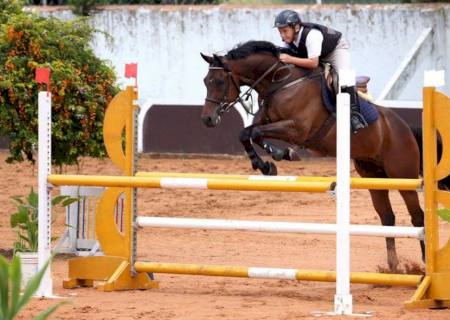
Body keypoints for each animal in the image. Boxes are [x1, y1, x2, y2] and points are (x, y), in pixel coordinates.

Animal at [200, 38, 428, 272]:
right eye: (206, 81)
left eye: (219, 81)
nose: (207, 119)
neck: (281, 83)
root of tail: (404, 128)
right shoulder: (267, 122)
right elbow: (247, 133)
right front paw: (271, 162)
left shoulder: (297, 129)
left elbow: (253, 132)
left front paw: (279, 156)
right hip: (373, 175)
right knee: (387, 217)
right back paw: (392, 266)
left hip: (403, 175)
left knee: (418, 216)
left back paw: (423, 264)